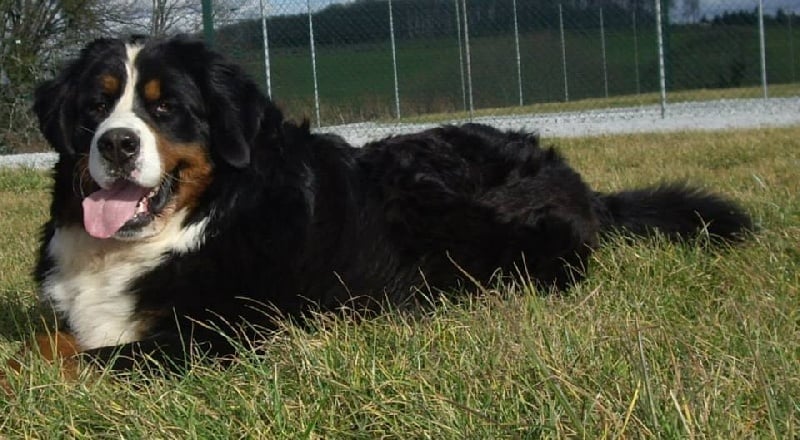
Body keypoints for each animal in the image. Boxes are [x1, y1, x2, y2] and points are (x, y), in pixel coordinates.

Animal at [21, 35, 752, 372]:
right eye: (94, 108)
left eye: (166, 107)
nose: (116, 144)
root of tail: (572, 177)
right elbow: (51, 341)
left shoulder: (226, 334)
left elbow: (75, 358)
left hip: (434, 198)